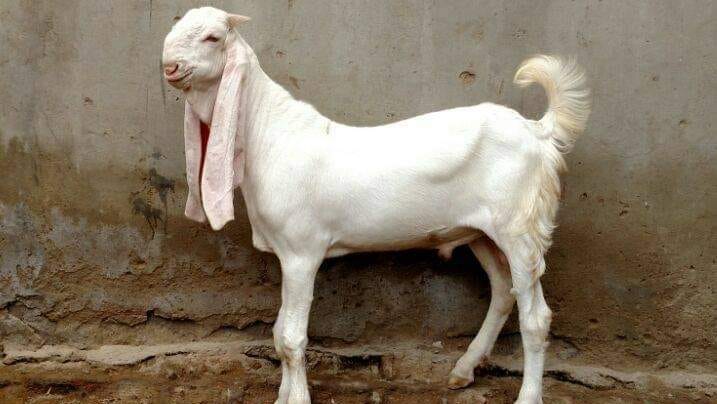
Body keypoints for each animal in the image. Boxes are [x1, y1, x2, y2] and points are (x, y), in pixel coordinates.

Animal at [162, 7, 591, 404]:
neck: (268, 135)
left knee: (536, 317)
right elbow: (279, 333)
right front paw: (283, 396)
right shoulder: (287, 254)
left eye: (213, 38)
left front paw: (296, 398)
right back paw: (463, 369)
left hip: (520, 228)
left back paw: (527, 395)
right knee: (504, 291)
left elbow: (291, 337)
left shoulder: (302, 252)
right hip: (481, 233)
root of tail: (538, 130)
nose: (170, 66)